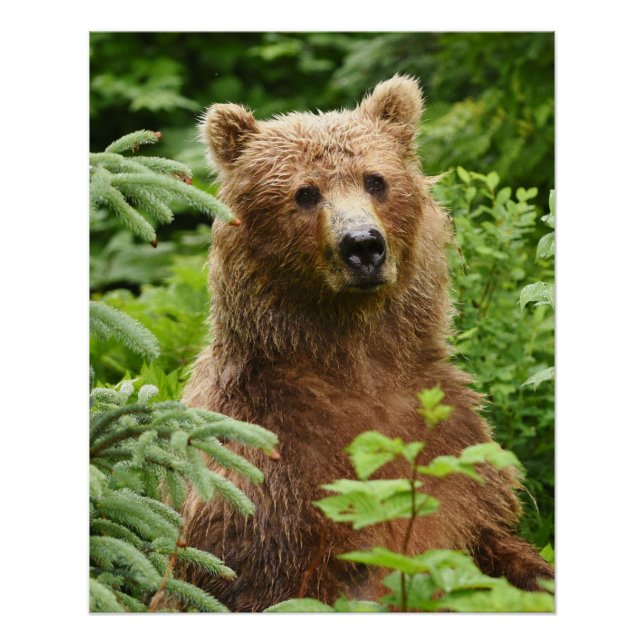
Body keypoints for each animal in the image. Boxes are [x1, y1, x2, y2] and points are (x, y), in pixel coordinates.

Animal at [175, 75, 554, 611]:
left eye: (375, 180)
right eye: (305, 192)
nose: (363, 245)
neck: (357, 358)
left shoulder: (453, 447)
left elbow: (490, 539)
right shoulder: (263, 466)